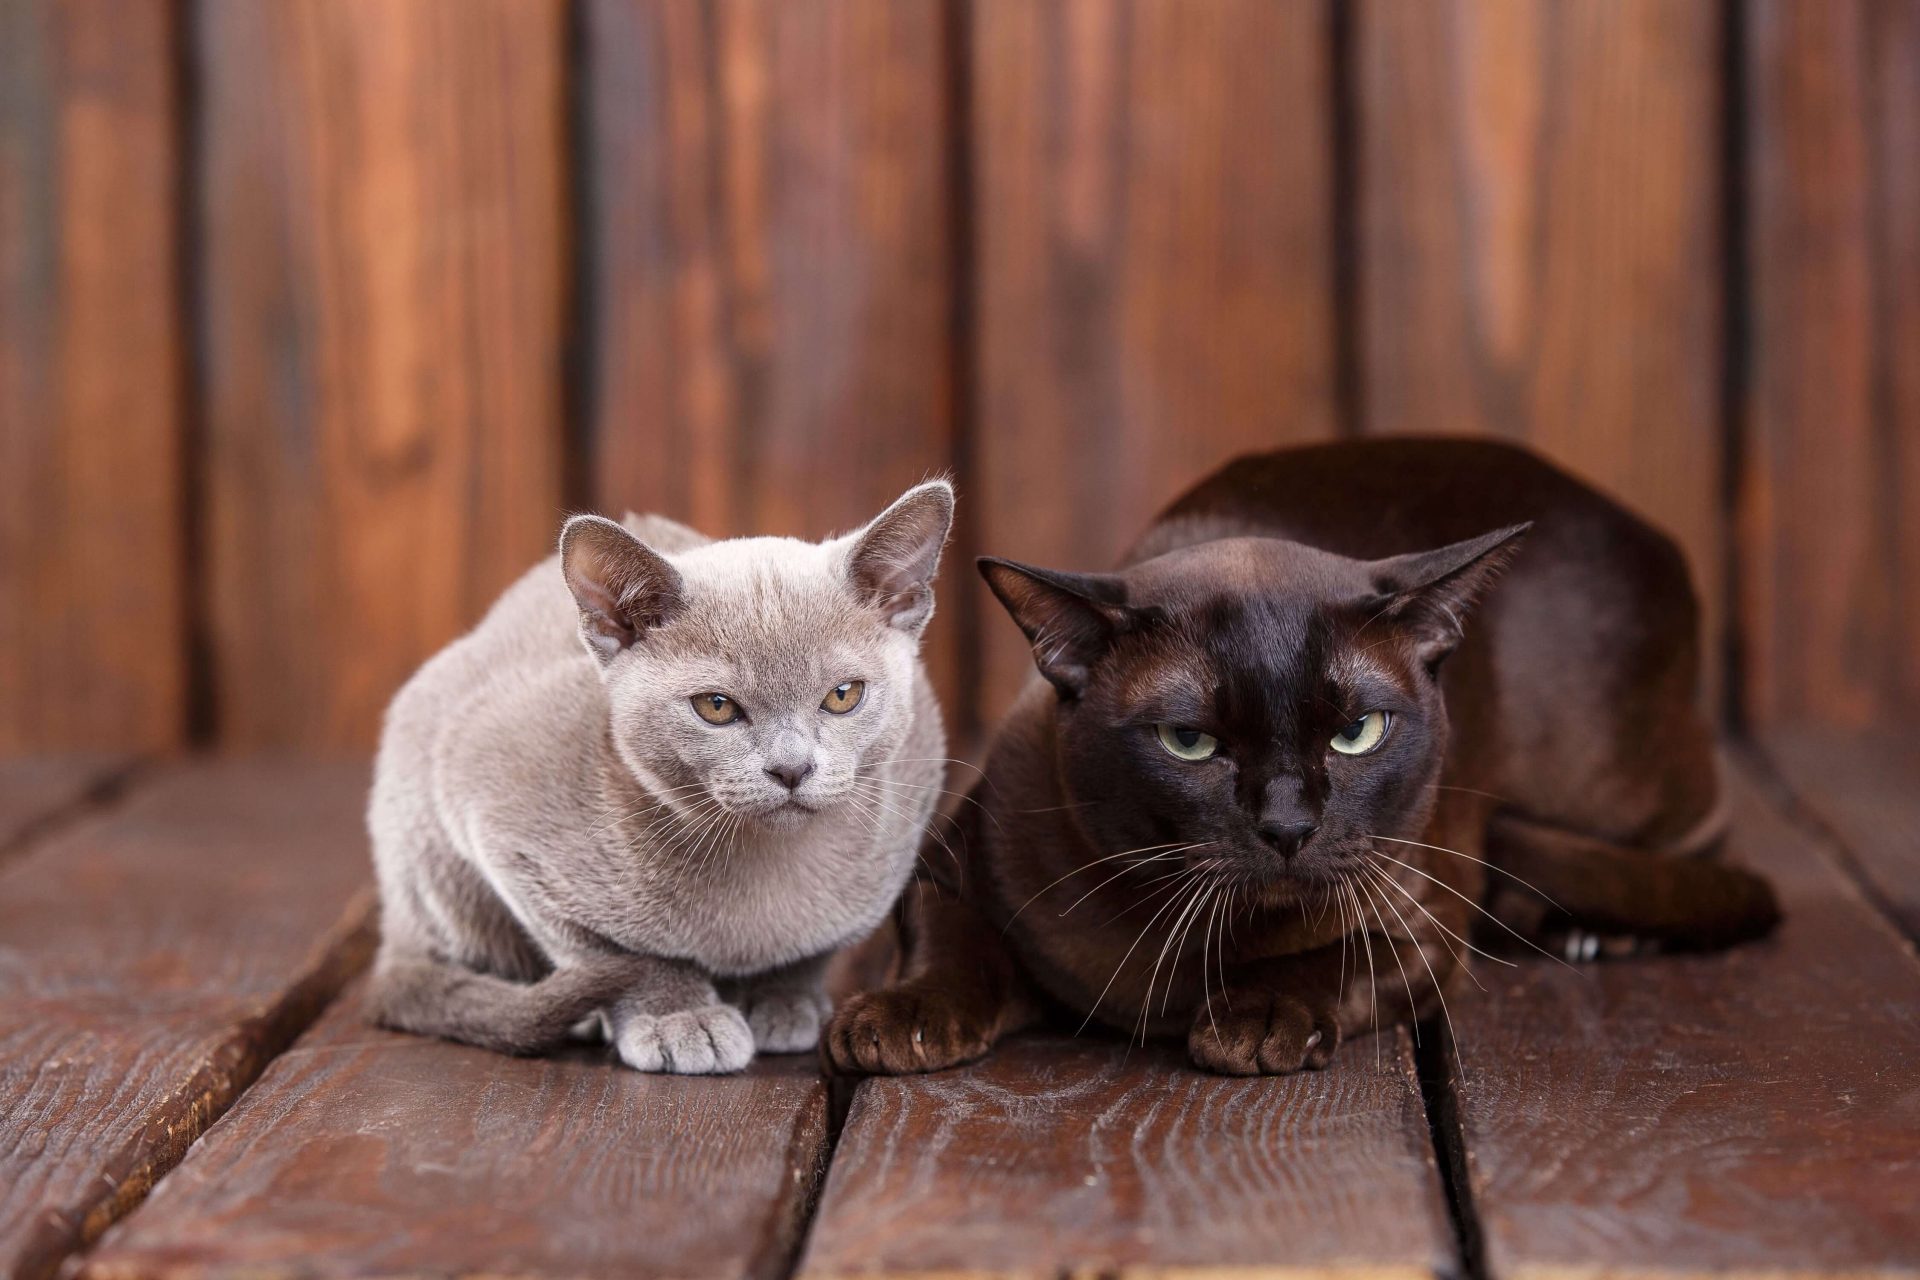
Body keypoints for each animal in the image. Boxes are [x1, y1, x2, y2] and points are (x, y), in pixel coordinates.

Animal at [360, 479, 952, 1074]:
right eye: (716, 707)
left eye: (843, 696)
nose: (791, 768)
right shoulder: (486, 800)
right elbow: (623, 953)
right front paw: (680, 1017)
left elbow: (811, 950)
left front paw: (784, 999)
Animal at [825, 435, 1781, 1074]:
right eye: (1190, 741)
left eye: (1357, 733)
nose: (1289, 826)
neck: (1168, 942)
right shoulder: (944, 870)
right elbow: (950, 949)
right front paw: (901, 1020)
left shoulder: (1422, 929)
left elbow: (1328, 960)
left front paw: (1251, 1024)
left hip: (1604, 785)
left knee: (1709, 840)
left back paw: (1599, 932)